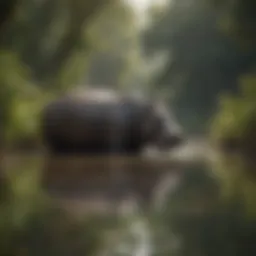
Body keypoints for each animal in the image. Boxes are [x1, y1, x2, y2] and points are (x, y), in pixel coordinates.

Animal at [40, 88, 184, 155]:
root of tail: (46, 105)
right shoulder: (116, 141)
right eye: (162, 119)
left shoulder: (136, 146)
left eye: (172, 115)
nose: (179, 135)